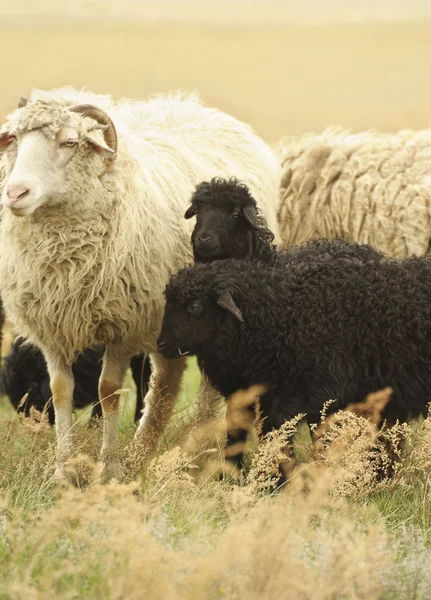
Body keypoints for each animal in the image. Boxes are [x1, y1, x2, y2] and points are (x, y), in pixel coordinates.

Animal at [0, 86, 282, 478]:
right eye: (14, 139)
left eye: (69, 141)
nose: (15, 193)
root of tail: (197, 108)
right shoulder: (52, 326)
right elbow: (60, 391)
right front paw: (63, 469)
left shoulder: (122, 325)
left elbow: (108, 391)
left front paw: (109, 466)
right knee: (166, 381)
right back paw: (145, 450)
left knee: (203, 386)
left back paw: (194, 450)